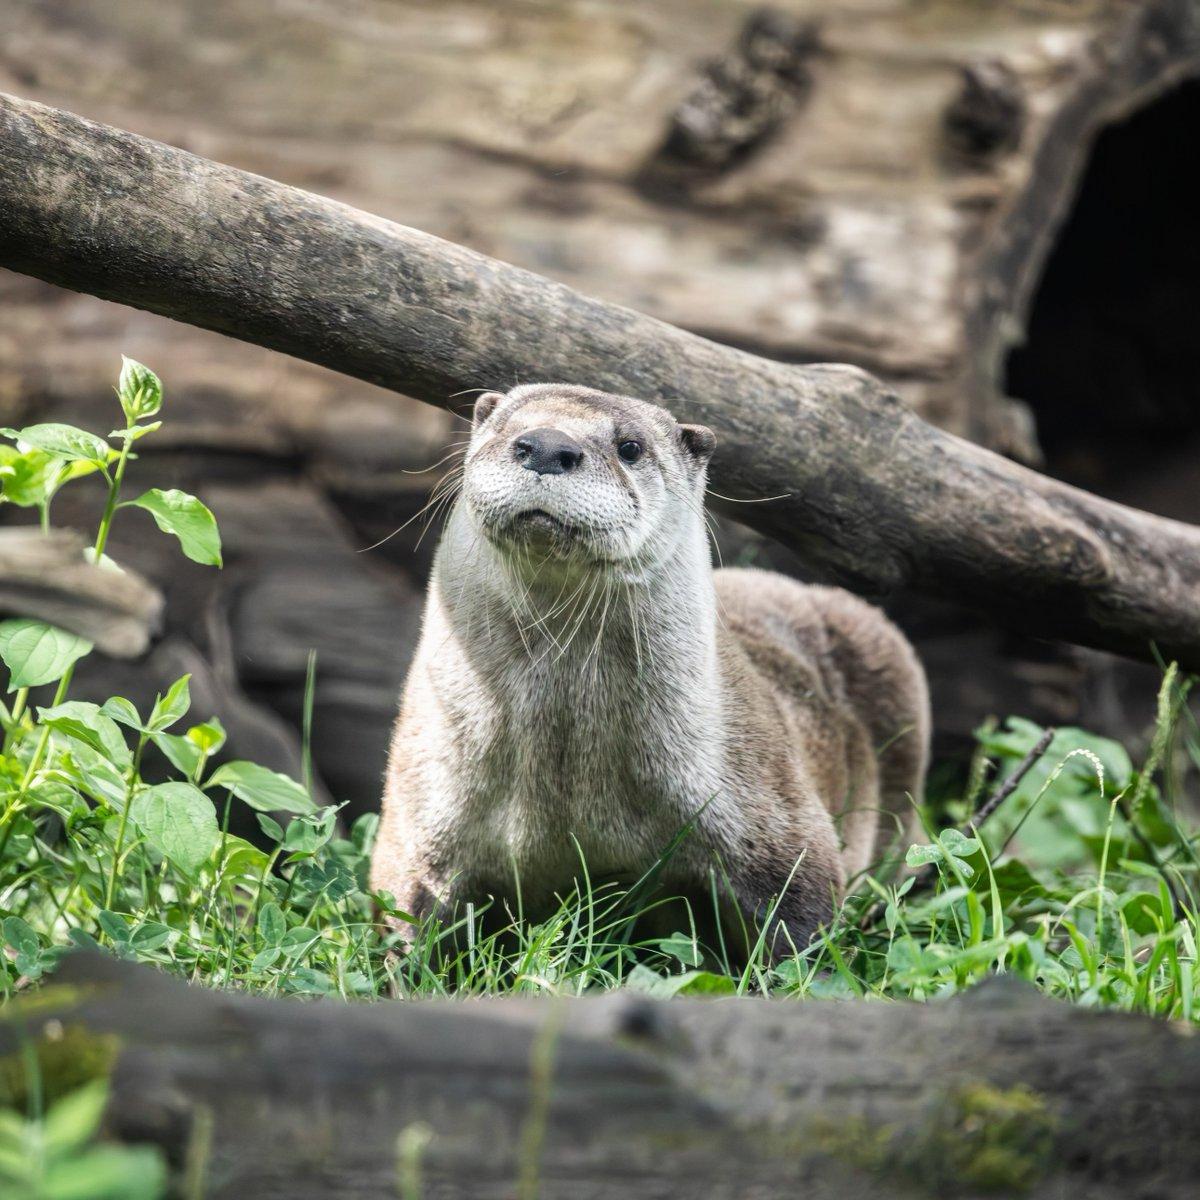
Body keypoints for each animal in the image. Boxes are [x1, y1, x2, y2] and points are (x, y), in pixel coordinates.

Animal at [373, 384, 929, 952]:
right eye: (506, 426)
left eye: (631, 447)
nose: (546, 446)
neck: (565, 780)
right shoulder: (418, 820)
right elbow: (406, 920)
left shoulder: (777, 824)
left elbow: (803, 920)